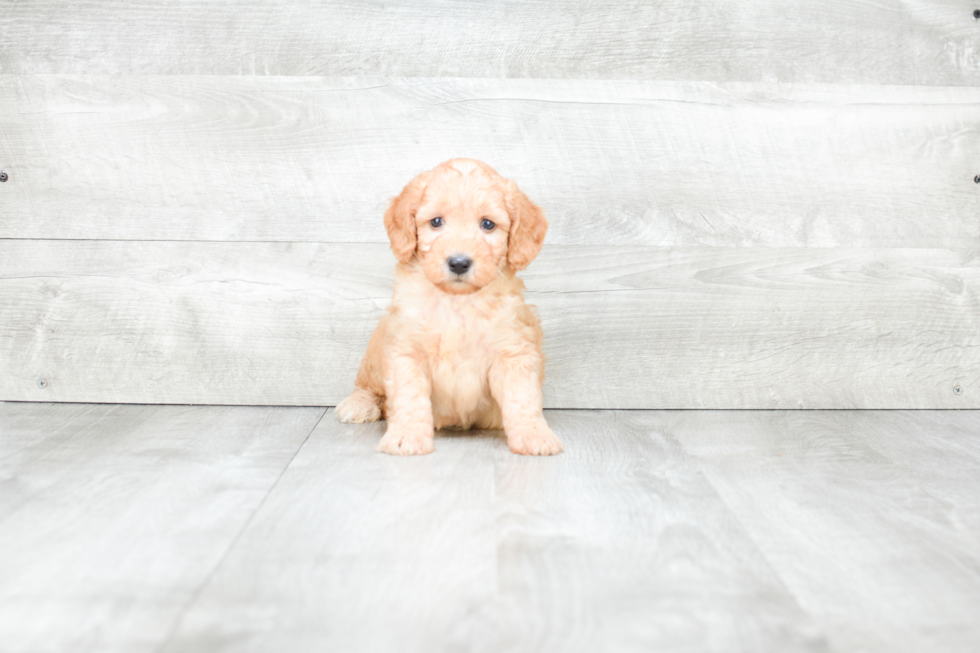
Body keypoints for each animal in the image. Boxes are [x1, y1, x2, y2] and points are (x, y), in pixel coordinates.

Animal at [338, 158, 564, 456]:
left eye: (488, 224)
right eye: (436, 222)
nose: (459, 263)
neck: (458, 301)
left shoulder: (513, 351)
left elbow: (522, 398)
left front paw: (534, 434)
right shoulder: (406, 350)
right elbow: (409, 398)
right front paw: (406, 436)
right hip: (377, 347)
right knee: (367, 385)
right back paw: (359, 404)